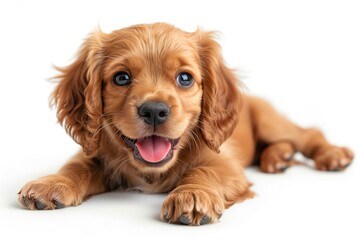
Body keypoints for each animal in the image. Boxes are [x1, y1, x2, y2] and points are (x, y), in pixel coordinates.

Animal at [18, 22, 352, 225]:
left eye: (185, 78)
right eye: (121, 78)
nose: (154, 110)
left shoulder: (225, 163)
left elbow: (202, 172)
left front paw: (192, 195)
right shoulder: (95, 151)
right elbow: (77, 166)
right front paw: (52, 183)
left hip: (271, 121)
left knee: (308, 133)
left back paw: (331, 155)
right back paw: (277, 158)